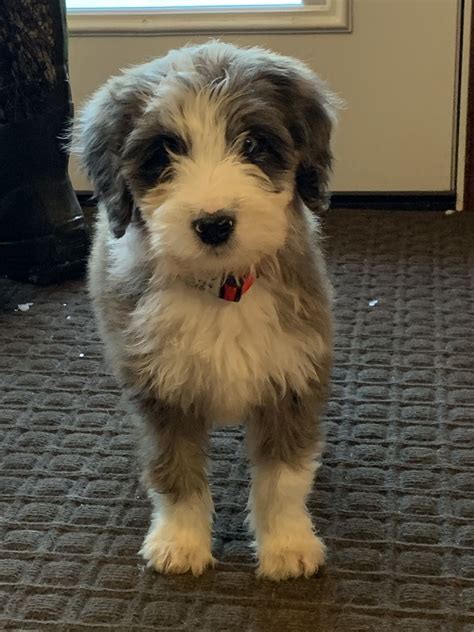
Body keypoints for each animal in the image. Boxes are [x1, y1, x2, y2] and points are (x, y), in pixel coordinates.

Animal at [75, 40, 336, 584]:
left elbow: (282, 480)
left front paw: (287, 545)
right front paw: (180, 542)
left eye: (253, 144)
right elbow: (176, 475)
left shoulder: (293, 378)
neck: (222, 288)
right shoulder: (161, 394)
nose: (214, 224)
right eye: (162, 153)